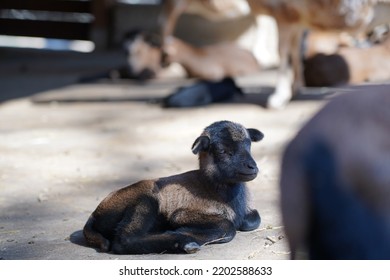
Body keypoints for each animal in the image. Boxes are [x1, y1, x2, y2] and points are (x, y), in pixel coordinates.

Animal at [84, 120, 264, 254]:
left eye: (249, 145)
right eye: (221, 150)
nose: (252, 167)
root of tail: (94, 215)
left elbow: (253, 220)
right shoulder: (181, 214)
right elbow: (228, 227)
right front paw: (182, 232)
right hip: (144, 200)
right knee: (124, 240)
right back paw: (184, 243)